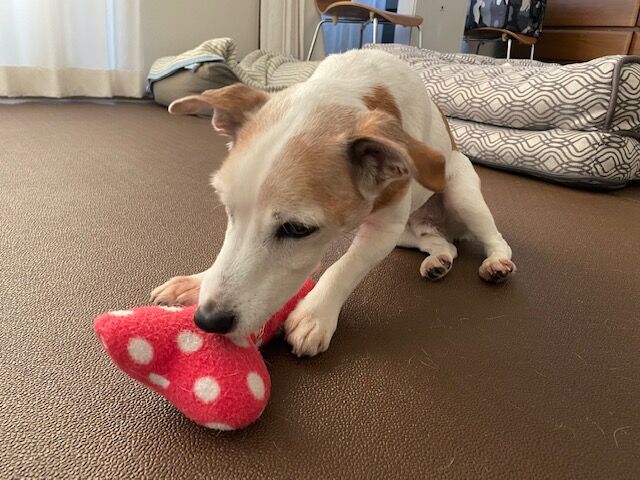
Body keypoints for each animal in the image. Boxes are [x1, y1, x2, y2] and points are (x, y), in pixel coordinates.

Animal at [150, 49, 515, 357]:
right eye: (229, 210)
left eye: (297, 229)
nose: (208, 321)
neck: (348, 86)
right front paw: (196, 282)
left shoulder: (384, 227)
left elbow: (345, 266)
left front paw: (314, 315)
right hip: (408, 233)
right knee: (442, 243)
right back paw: (438, 260)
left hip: (461, 195)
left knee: (495, 237)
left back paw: (496, 263)